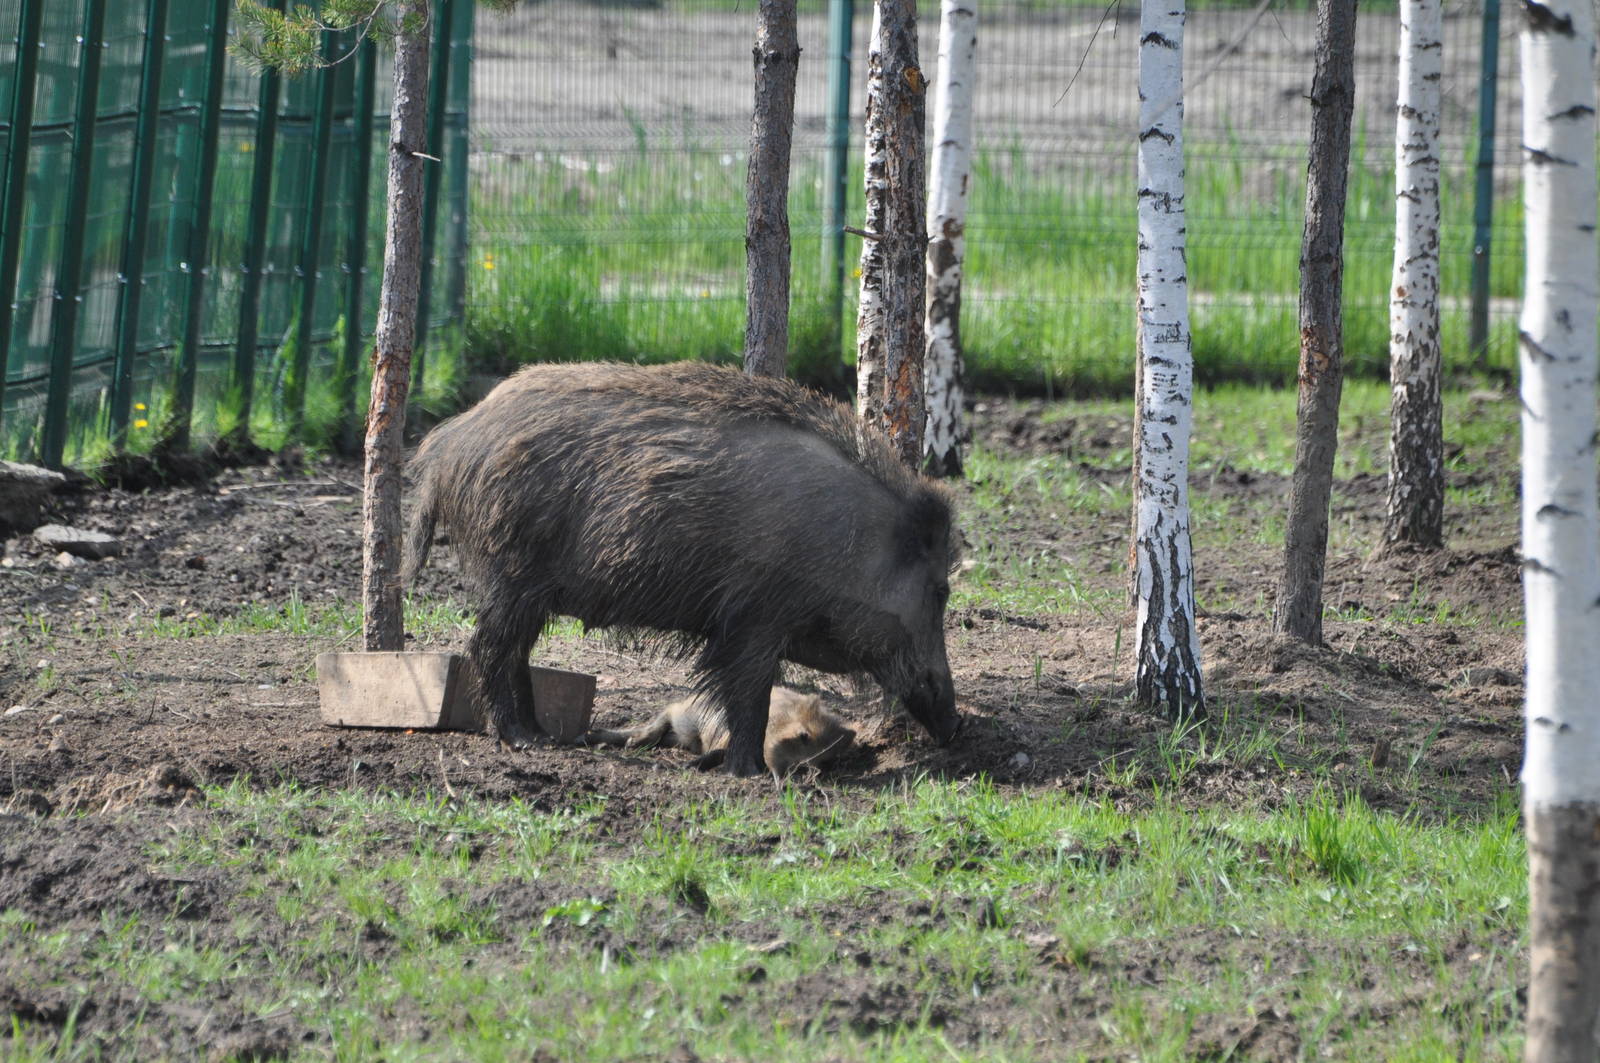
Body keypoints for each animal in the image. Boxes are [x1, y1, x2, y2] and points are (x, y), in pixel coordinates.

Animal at [587, 686, 856, 776]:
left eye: (827, 758)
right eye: (803, 736)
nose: (811, 770)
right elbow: (718, 752)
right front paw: (688, 768)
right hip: (687, 718)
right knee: (668, 712)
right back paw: (632, 743)